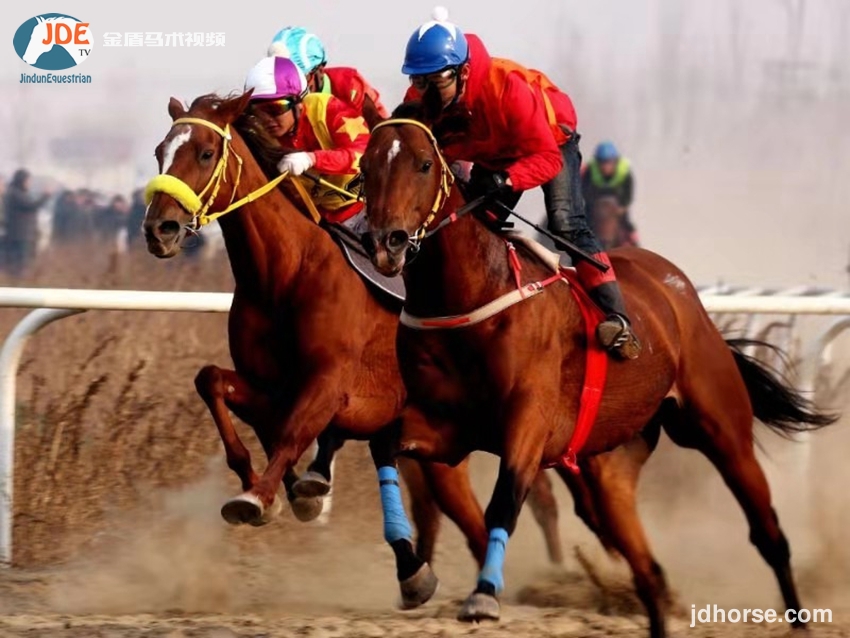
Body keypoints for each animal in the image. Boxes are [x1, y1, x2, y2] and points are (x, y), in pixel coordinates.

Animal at [140, 90, 581, 607]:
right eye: (160, 152)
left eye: (206, 153)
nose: (160, 230)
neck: (284, 273)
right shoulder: (273, 386)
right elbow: (215, 384)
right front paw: (283, 491)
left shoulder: (332, 382)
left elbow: (292, 431)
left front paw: (262, 497)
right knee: (458, 512)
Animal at [356, 102, 837, 637]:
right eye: (365, 167)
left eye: (423, 164)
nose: (386, 242)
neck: (472, 296)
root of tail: (677, 286)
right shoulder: (449, 428)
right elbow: (384, 446)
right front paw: (413, 574)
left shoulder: (528, 423)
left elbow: (505, 497)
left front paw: (483, 596)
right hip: (613, 462)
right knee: (647, 568)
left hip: (721, 429)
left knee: (767, 532)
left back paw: (797, 617)